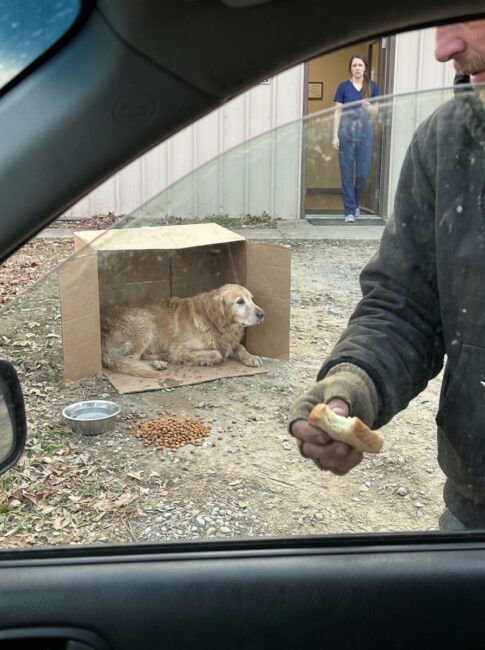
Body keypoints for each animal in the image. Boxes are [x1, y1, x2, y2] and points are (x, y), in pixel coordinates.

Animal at [101, 284, 265, 378]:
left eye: (251, 299)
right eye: (240, 301)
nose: (262, 314)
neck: (213, 321)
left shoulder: (228, 342)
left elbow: (240, 346)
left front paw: (251, 357)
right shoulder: (180, 348)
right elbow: (216, 353)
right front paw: (206, 360)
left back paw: (161, 358)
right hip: (147, 321)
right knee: (131, 358)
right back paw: (157, 363)